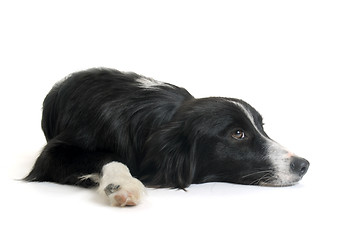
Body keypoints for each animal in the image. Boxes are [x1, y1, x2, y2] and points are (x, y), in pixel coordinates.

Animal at [24, 67, 310, 206]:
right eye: (238, 134)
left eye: (262, 127)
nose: (304, 164)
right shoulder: (52, 154)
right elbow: (108, 157)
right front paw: (123, 185)